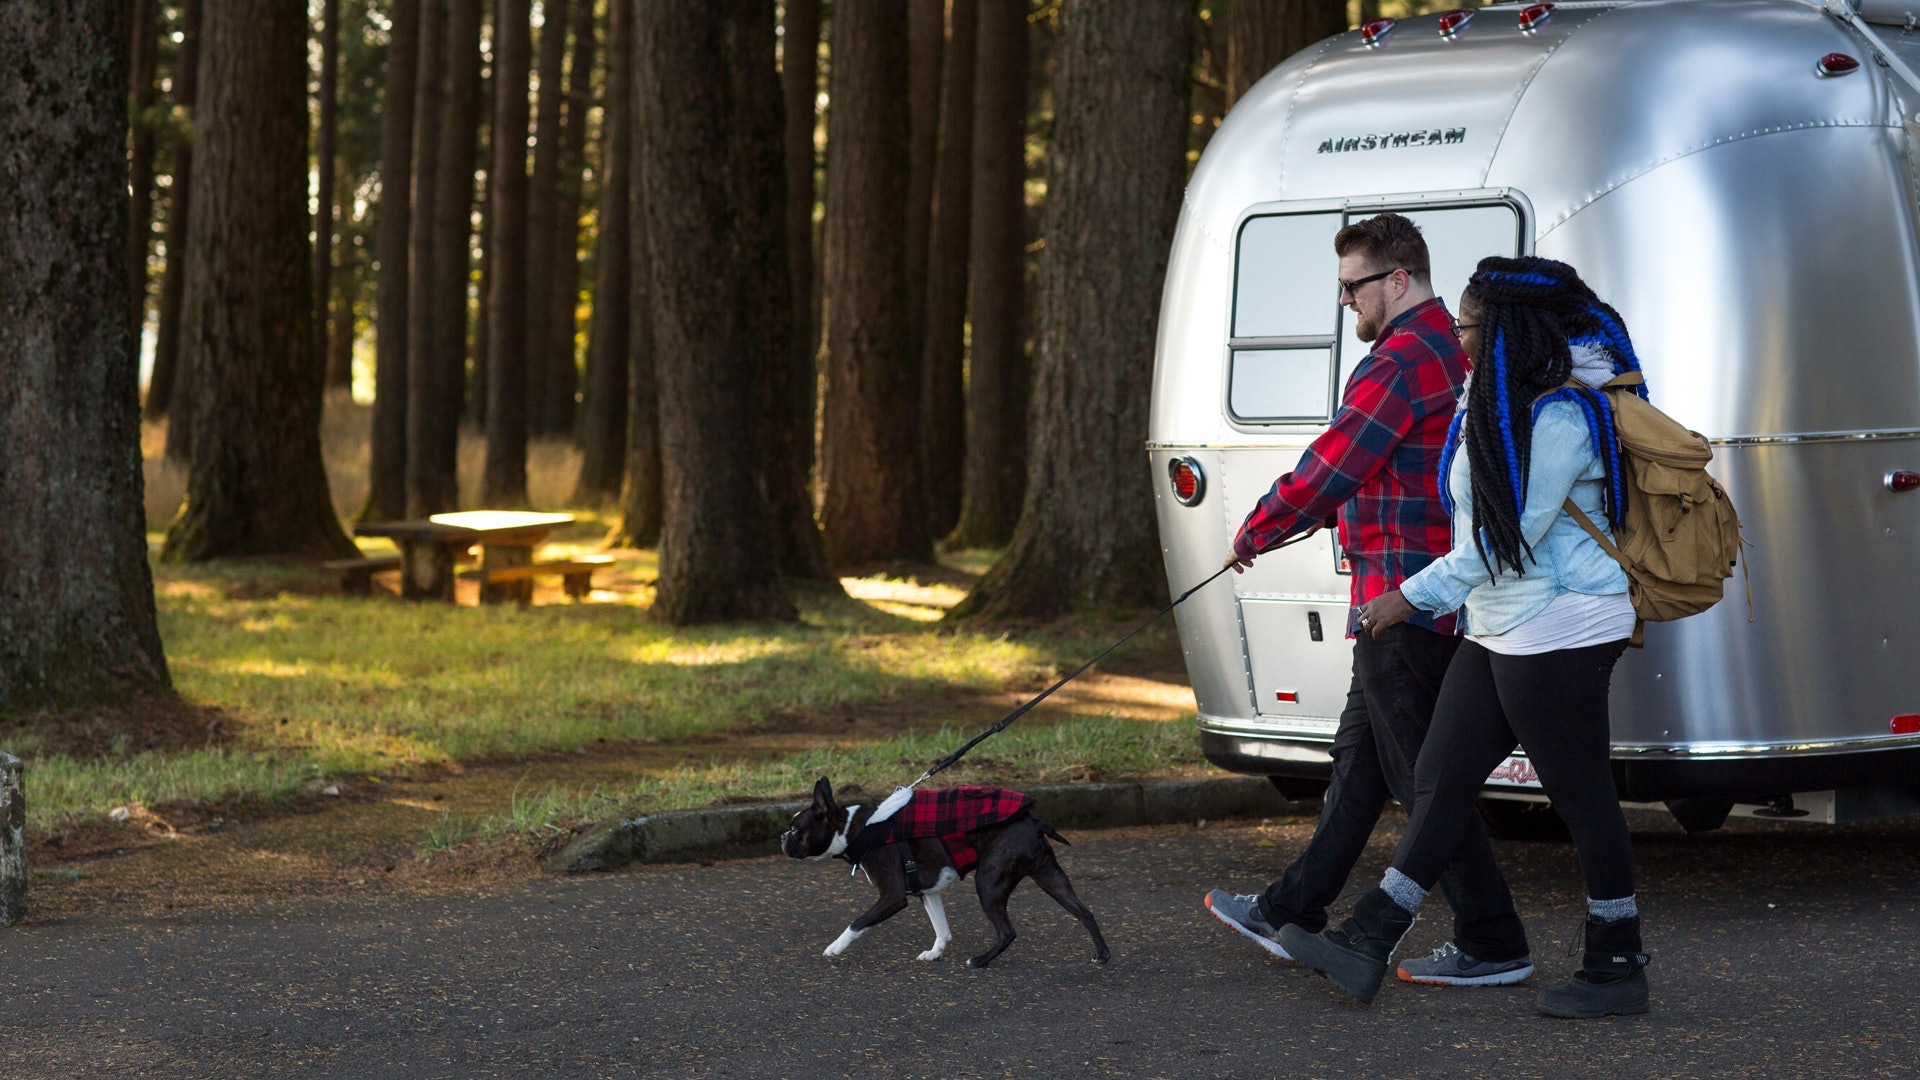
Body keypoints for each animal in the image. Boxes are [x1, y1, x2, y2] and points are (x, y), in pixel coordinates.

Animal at [775, 772, 1113, 968]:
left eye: (795, 830)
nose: (781, 837)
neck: (854, 828)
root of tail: (1033, 821)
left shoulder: (893, 896)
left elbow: (857, 923)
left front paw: (835, 947)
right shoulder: (927, 890)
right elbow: (942, 928)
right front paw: (935, 953)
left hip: (989, 882)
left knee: (1007, 931)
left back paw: (980, 961)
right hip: (1050, 876)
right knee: (1084, 912)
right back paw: (1102, 954)